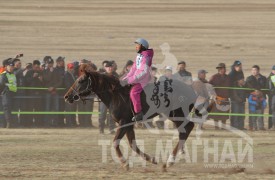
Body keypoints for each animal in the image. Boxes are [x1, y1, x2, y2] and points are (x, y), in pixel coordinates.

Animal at [64, 65, 207, 170]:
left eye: (80, 80)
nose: (67, 96)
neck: (116, 95)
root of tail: (191, 89)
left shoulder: (123, 122)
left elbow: (115, 142)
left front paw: (124, 163)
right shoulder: (128, 124)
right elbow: (133, 144)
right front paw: (151, 159)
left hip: (176, 114)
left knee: (186, 129)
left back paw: (170, 161)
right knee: (185, 130)